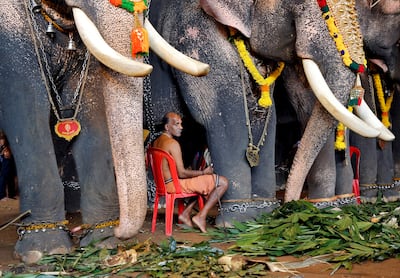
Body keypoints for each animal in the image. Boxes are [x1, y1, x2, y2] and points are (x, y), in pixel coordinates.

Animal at [145, 0, 396, 224]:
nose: (291, 204)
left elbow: (269, 115)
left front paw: (263, 214)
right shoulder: (194, 33)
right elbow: (226, 117)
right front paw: (240, 219)